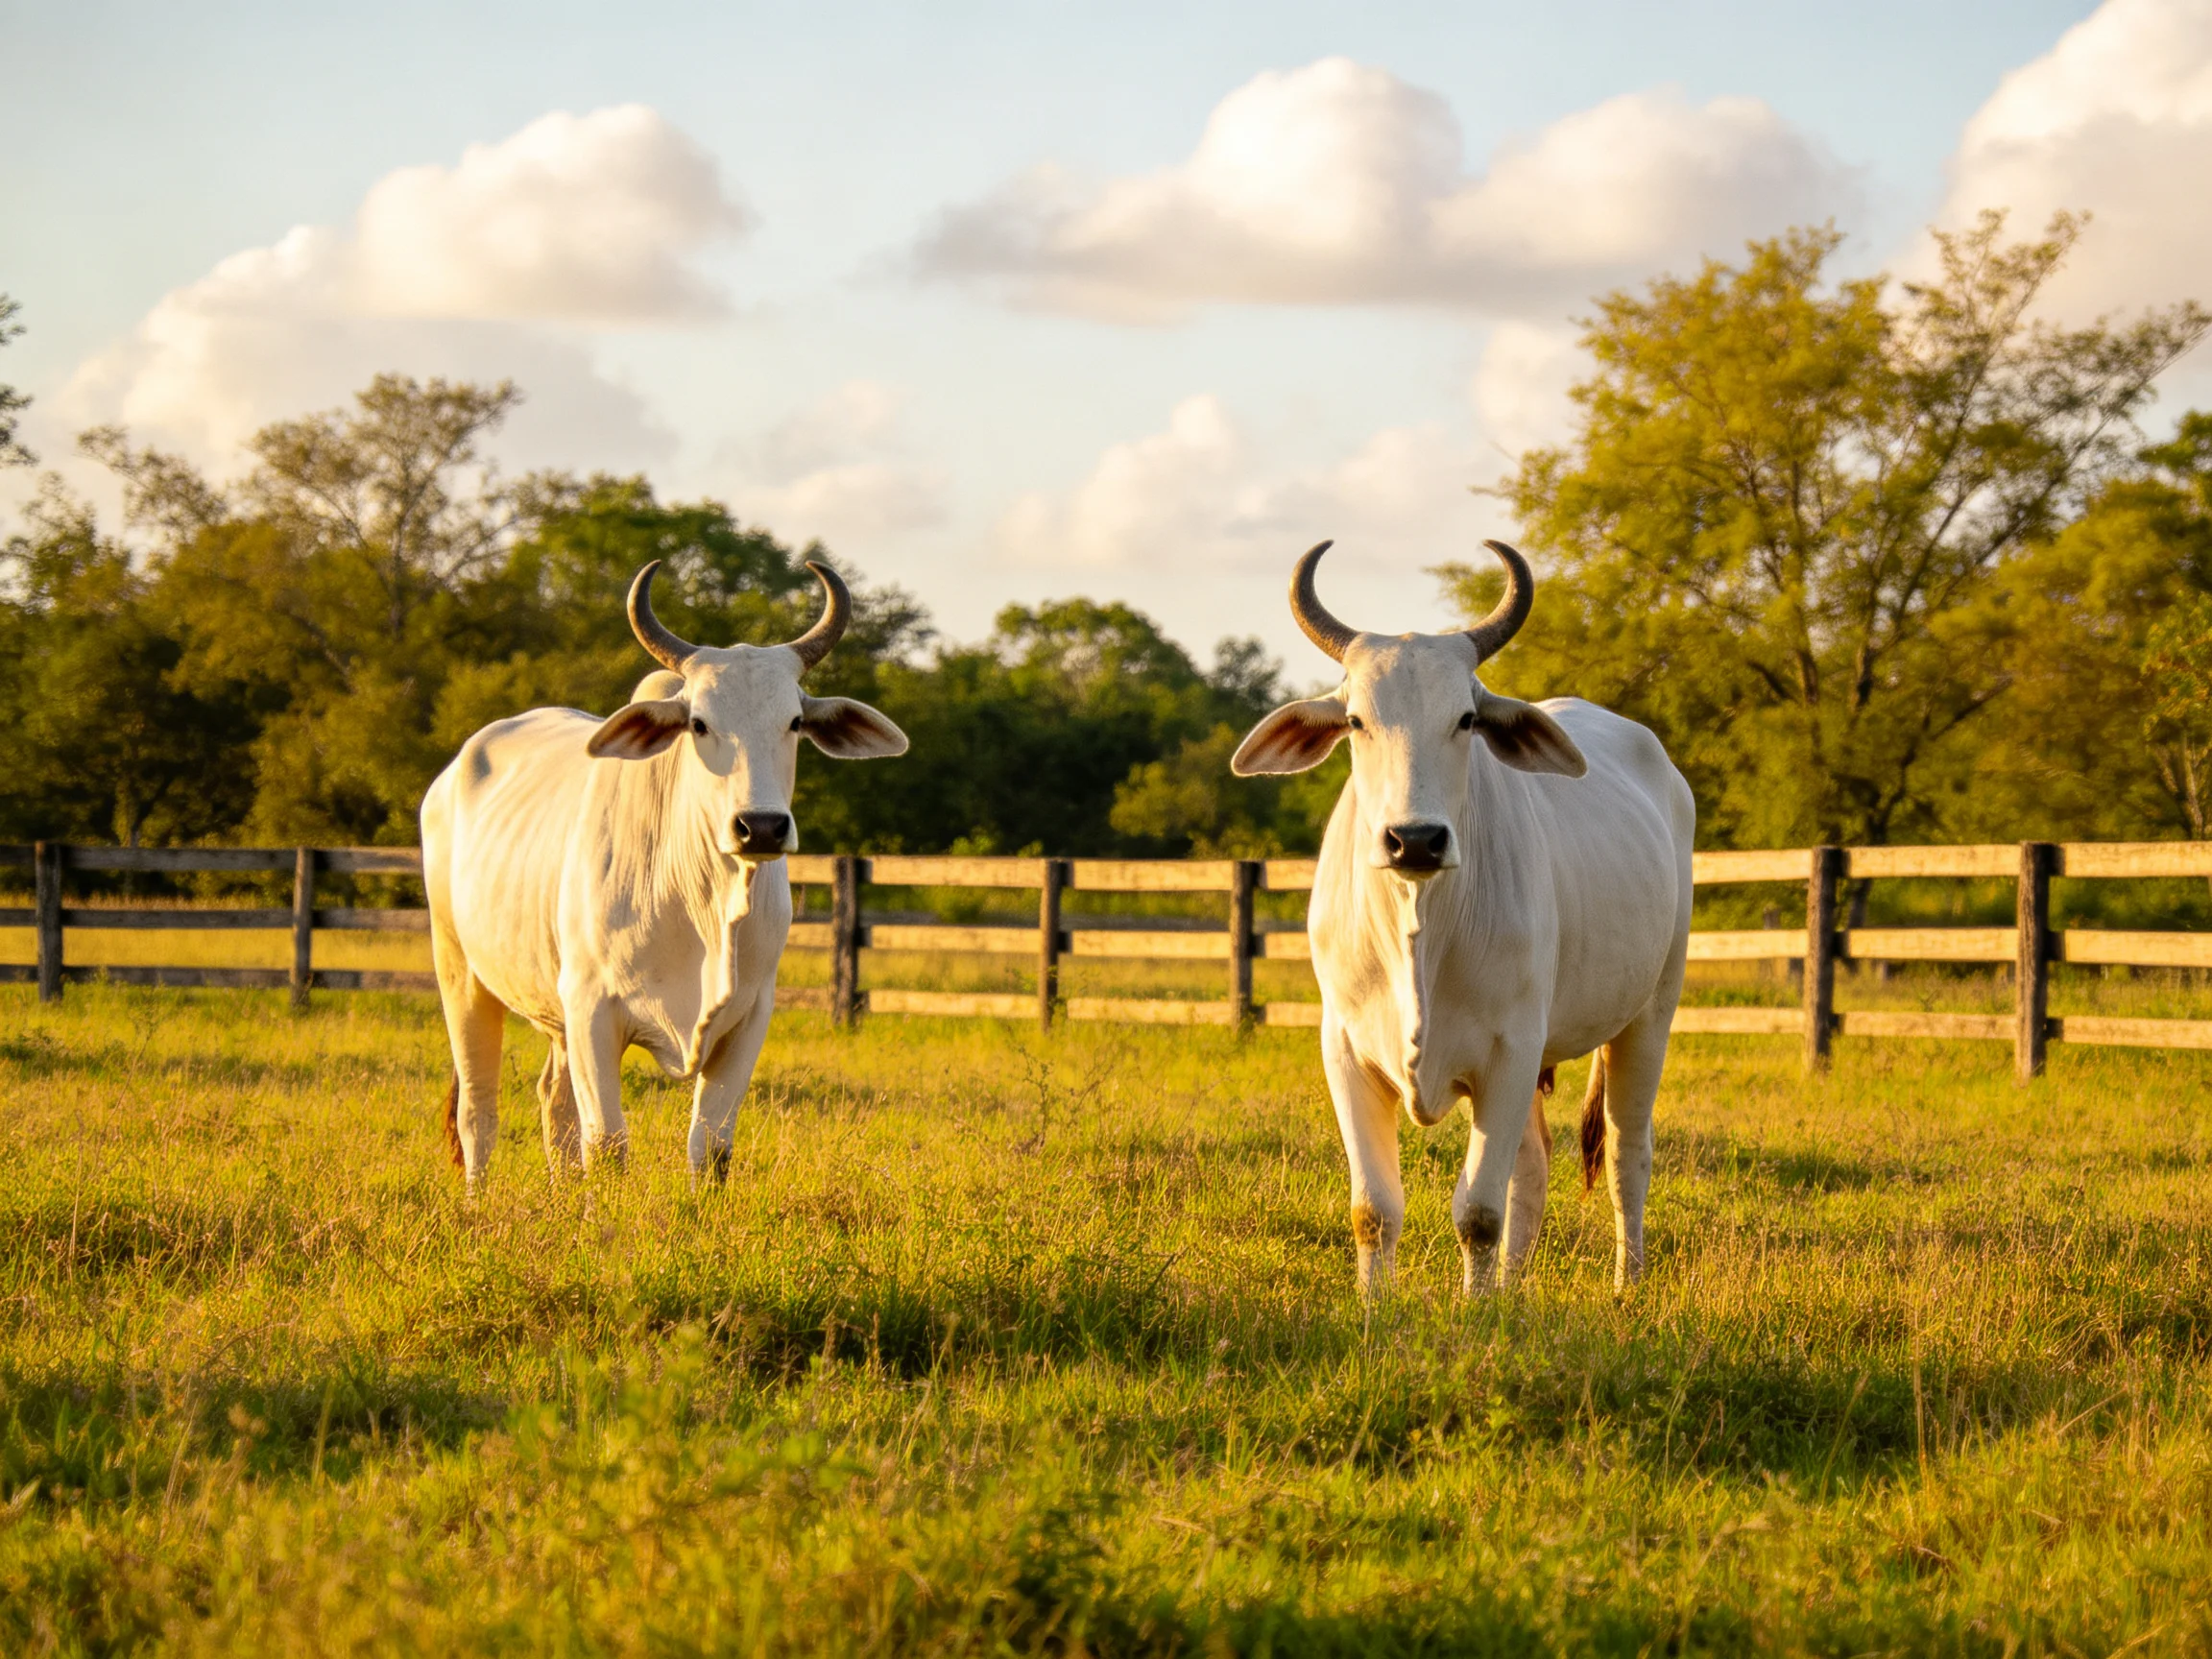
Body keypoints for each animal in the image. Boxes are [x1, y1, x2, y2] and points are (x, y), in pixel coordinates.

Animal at [420, 559, 908, 1188]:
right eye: (698, 724)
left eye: (795, 722)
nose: (761, 827)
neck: (701, 905)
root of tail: (453, 770)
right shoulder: (592, 1009)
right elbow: (607, 1144)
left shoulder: (750, 1015)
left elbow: (711, 1147)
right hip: (460, 972)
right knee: (478, 1111)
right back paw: (477, 1200)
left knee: (554, 1102)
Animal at [1231, 539, 1693, 1295]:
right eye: (1355, 720)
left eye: (1467, 719)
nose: (1414, 840)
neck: (1419, 931)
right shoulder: (1346, 1050)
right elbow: (1374, 1210)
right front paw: (1380, 1307)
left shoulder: (1509, 1052)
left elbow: (1478, 1211)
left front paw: (1474, 1309)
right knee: (1534, 1164)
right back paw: (1512, 1290)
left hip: (1649, 1013)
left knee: (1629, 1150)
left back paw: (1627, 1285)